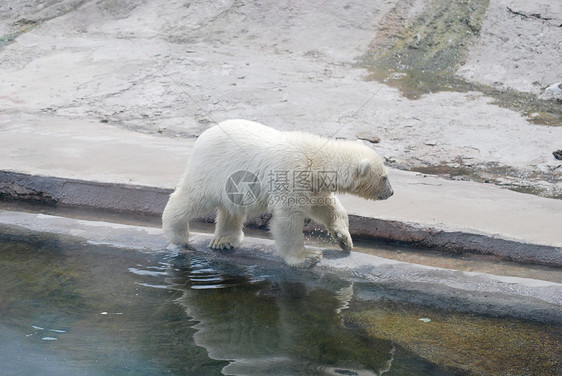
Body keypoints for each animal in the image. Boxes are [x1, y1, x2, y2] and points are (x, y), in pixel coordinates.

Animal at [160, 120, 392, 268]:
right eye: (384, 177)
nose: (391, 192)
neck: (315, 158)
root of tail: (203, 136)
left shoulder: (312, 186)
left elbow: (326, 206)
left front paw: (344, 240)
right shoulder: (291, 176)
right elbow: (287, 220)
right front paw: (307, 257)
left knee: (231, 208)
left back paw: (224, 241)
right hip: (213, 172)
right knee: (192, 198)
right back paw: (178, 233)